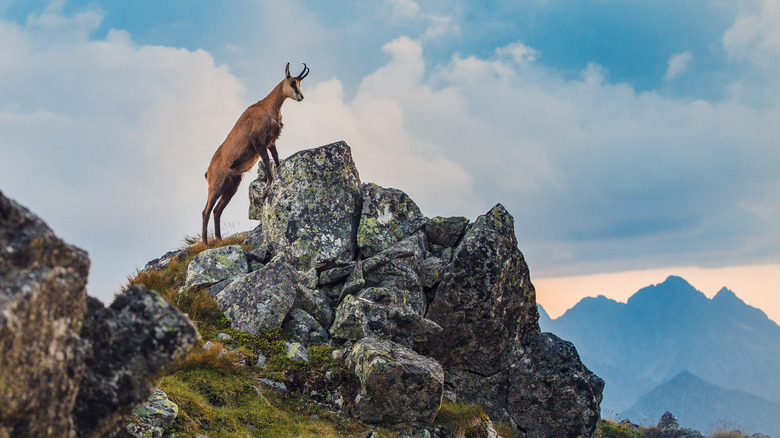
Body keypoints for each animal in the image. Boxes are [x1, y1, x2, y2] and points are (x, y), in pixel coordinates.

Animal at [201, 62, 309, 244]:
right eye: (292, 82)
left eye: (300, 82)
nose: (301, 96)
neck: (267, 107)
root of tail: (208, 171)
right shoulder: (258, 142)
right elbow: (266, 161)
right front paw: (270, 182)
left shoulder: (271, 142)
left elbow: (276, 159)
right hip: (216, 185)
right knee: (206, 210)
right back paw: (205, 242)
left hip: (232, 186)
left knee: (217, 210)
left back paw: (219, 239)